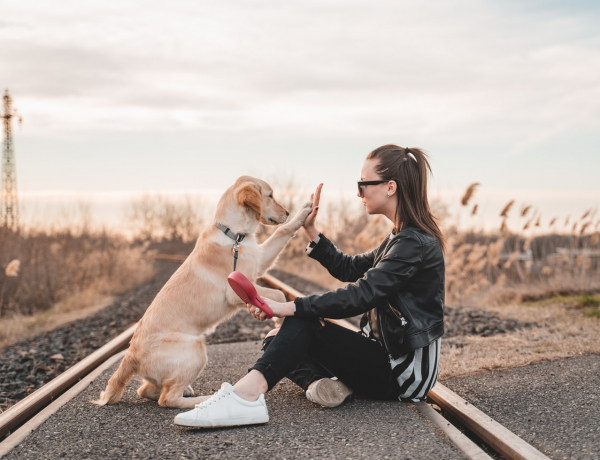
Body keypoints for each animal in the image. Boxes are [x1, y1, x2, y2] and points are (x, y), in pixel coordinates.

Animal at [92, 177, 314, 410]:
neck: (234, 235)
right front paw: (279, 321)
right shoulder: (237, 289)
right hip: (196, 348)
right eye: (270, 196)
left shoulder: (260, 260)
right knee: (167, 398)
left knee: (146, 390)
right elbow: (279, 294)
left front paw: (304, 211)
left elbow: (282, 232)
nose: (287, 212)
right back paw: (204, 399)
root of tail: (130, 356)